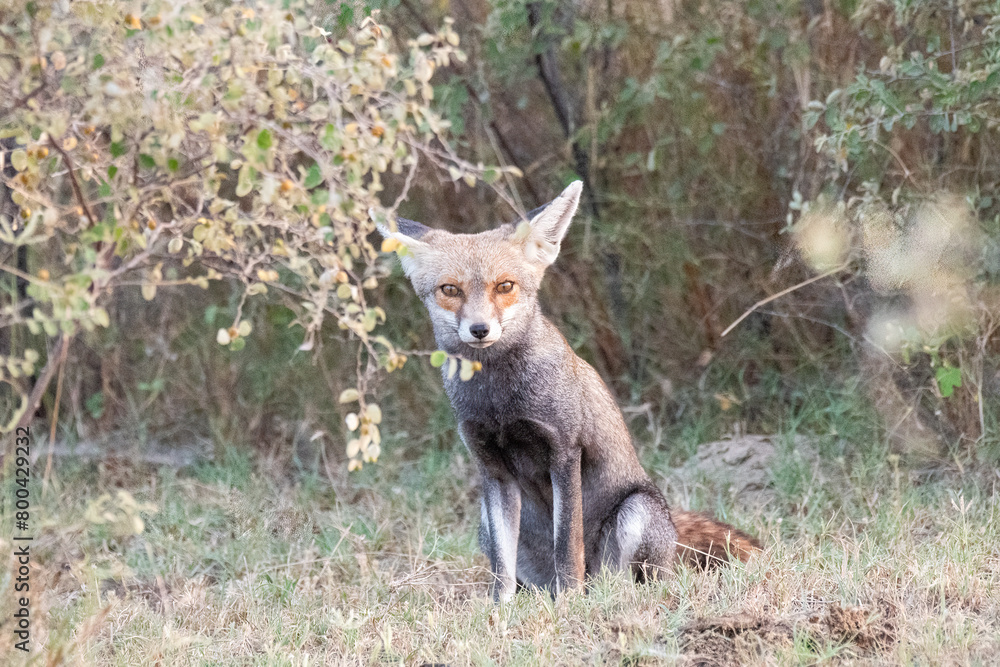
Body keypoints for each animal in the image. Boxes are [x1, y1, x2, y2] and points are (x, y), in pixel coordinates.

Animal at [378, 181, 760, 600]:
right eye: (450, 289)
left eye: (505, 286)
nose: (479, 329)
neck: (500, 402)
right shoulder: (493, 470)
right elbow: (501, 568)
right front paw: (500, 608)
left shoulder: (564, 452)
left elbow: (567, 546)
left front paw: (569, 602)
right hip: (485, 523)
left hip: (636, 511)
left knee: (619, 581)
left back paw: (598, 595)